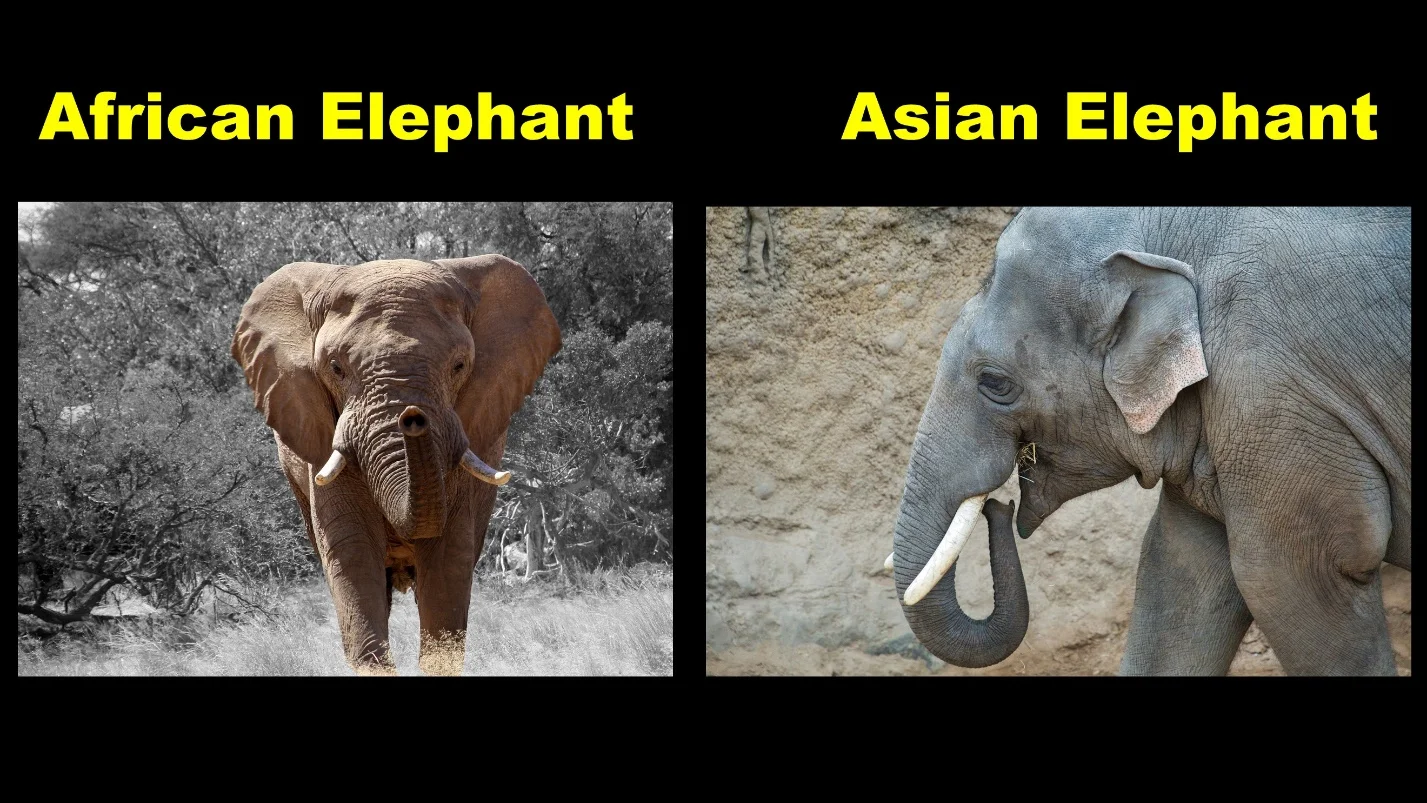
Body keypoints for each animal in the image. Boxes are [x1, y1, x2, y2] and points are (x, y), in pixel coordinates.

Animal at [889, 207, 1410, 676]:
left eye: (995, 382)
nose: (1000, 506)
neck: (1169, 231)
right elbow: (1179, 569)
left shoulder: (1276, 396)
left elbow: (1287, 576)